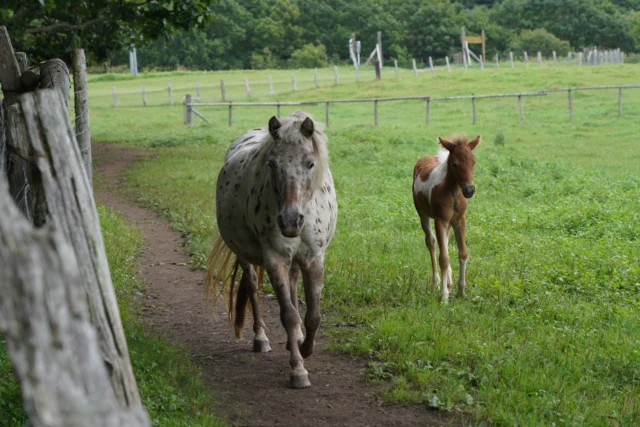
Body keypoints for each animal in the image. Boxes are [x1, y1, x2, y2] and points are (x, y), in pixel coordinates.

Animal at [205, 111, 338, 389]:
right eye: (272, 164)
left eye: (310, 163)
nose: (290, 221)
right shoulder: (275, 259)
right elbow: (288, 315)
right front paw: (298, 369)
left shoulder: (314, 259)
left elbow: (313, 316)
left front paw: (305, 347)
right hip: (245, 255)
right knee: (253, 288)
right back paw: (261, 339)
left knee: (294, 286)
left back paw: (295, 339)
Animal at [412, 133, 481, 301]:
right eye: (455, 164)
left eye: (473, 162)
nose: (469, 190)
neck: (452, 191)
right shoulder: (440, 220)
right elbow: (443, 258)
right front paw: (444, 296)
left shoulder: (459, 220)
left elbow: (462, 253)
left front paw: (461, 292)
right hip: (423, 214)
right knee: (431, 242)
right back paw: (437, 283)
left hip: (449, 223)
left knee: (446, 243)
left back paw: (449, 284)